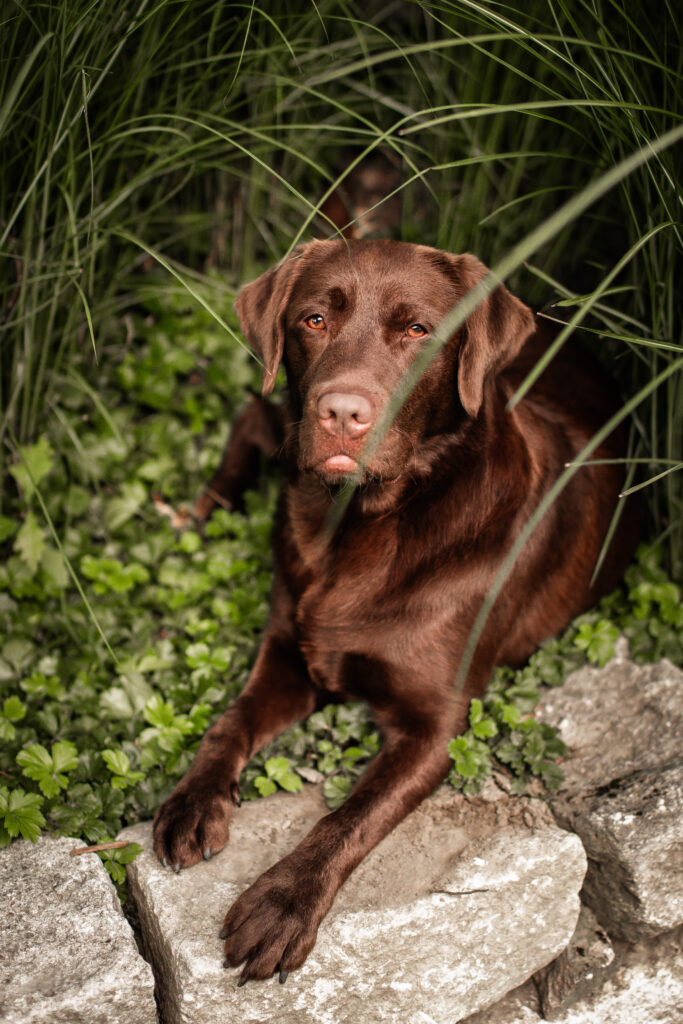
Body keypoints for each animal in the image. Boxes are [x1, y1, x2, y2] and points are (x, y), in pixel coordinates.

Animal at [152, 237, 638, 983]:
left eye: (417, 330)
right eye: (314, 319)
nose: (340, 412)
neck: (361, 527)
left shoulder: (439, 726)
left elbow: (351, 814)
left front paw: (282, 904)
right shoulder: (289, 647)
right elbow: (228, 722)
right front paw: (191, 801)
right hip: (281, 428)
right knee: (253, 418)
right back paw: (203, 510)